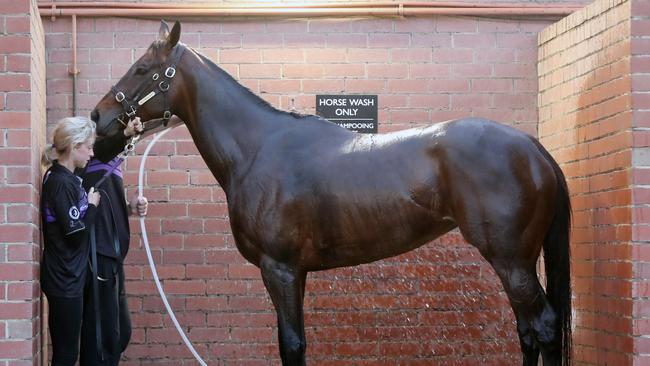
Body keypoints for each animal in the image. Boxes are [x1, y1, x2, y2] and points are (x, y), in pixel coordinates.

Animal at [90, 20, 568, 366]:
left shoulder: (279, 269)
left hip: (512, 261)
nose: (98, 117)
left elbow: (292, 344)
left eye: (141, 69)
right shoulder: (295, 272)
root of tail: (532, 146)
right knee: (527, 332)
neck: (257, 148)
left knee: (543, 326)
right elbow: (292, 340)